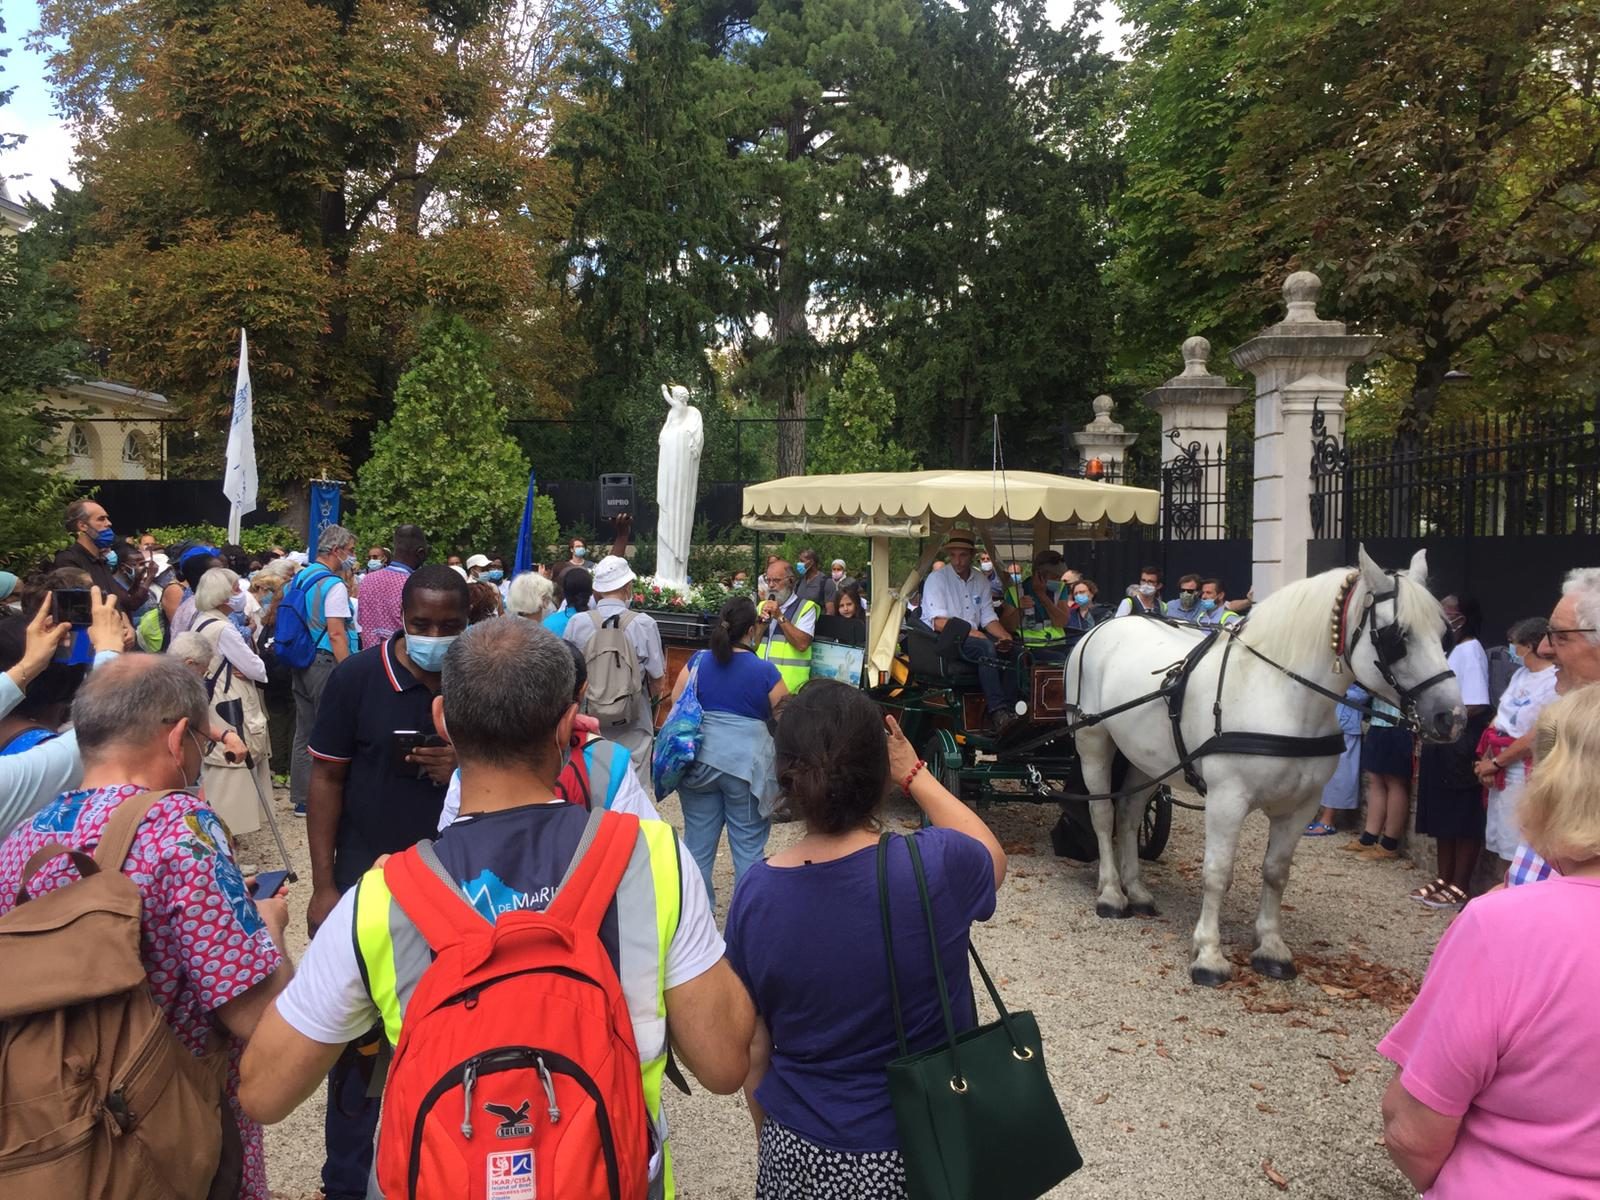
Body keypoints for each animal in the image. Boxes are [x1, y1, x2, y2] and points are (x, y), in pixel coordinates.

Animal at [1062, 553, 1465, 985]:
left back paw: (1135, 890)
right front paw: (1208, 954)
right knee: (1103, 815)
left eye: (1445, 634)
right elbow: (1218, 872)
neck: (1278, 693)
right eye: (1396, 637)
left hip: (1146, 757)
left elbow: (1276, 872)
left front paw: (1271, 948)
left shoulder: (1302, 806)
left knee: (1129, 815)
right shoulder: (1227, 800)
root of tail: (1106, 624)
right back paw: (1110, 893)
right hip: (1094, 741)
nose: (1452, 717)